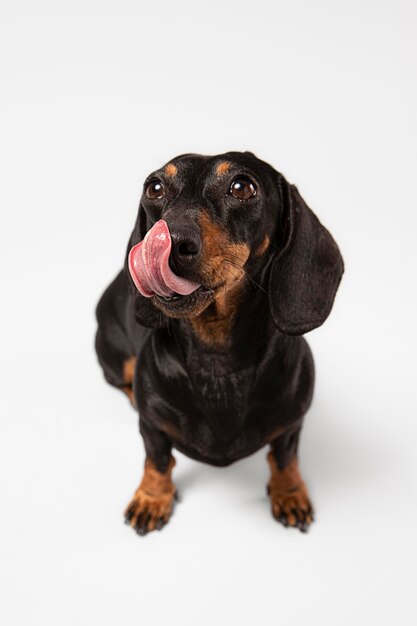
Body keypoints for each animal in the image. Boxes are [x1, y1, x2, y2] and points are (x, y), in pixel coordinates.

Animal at [96, 150, 342, 532]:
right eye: (155, 187)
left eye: (242, 187)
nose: (171, 243)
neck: (217, 357)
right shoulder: (151, 428)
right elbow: (157, 460)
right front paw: (152, 498)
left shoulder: (292, 424)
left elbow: (285, 458)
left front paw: (290, 493)